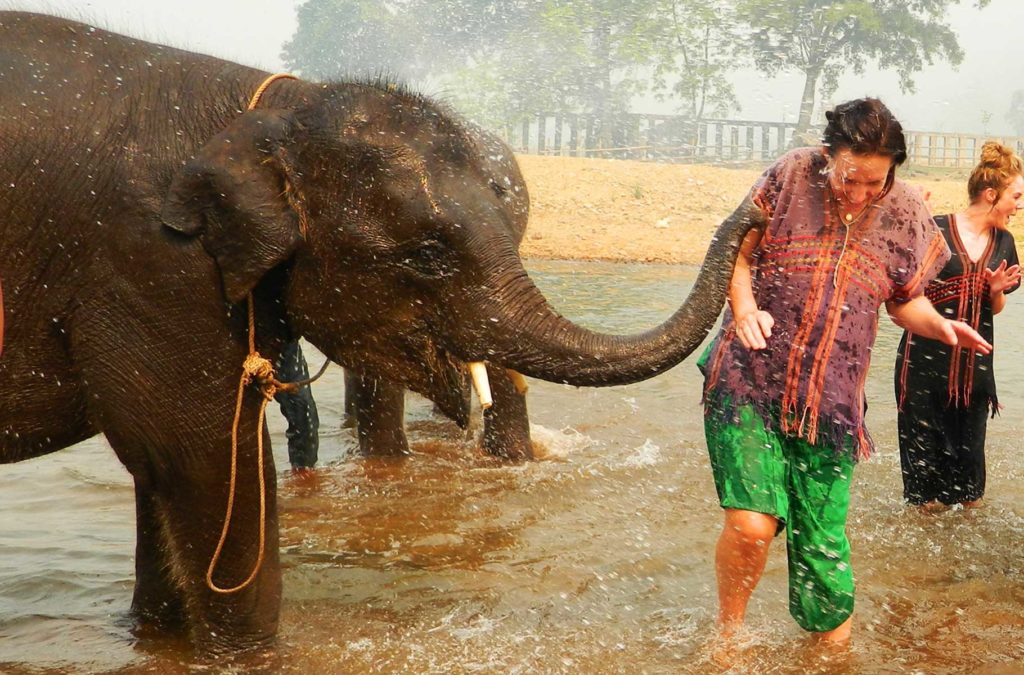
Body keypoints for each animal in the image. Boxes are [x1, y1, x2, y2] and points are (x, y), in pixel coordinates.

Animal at [0, 10, 753, 655]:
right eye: (428, 255)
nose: (753, 212)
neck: (272, 111)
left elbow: (172, 463)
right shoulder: (154, 262)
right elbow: (200, 458)